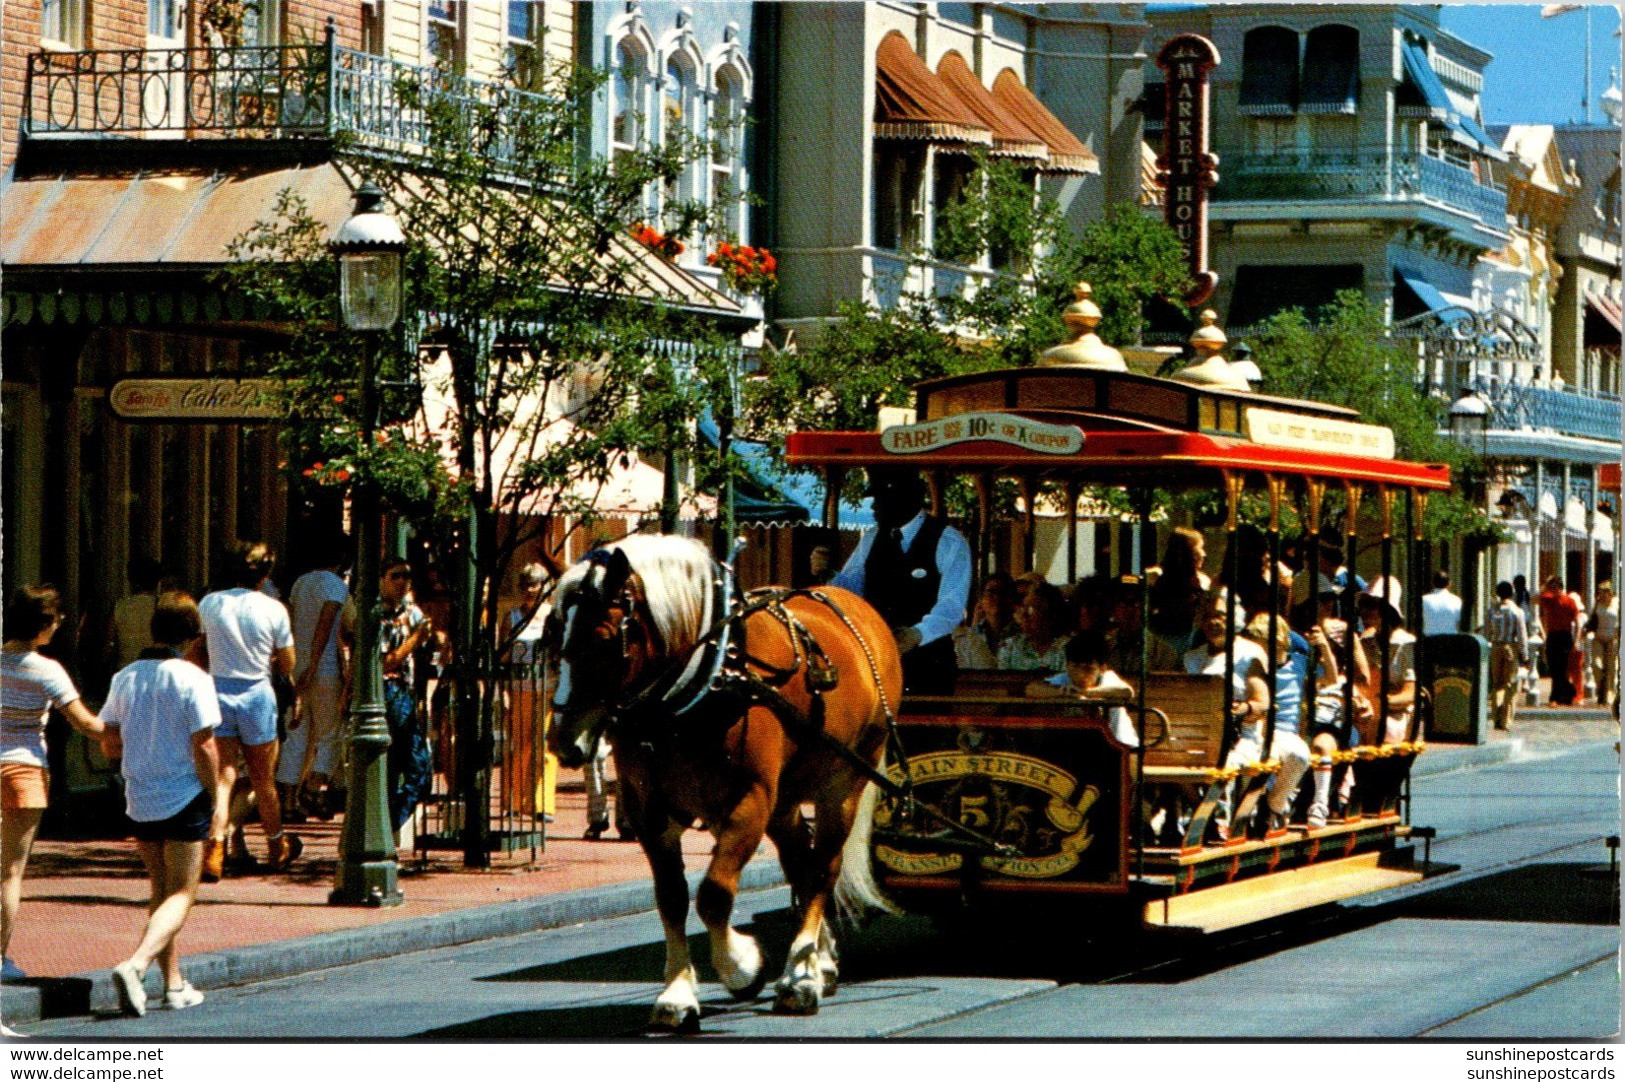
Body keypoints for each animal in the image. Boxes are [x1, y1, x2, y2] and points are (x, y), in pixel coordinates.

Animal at [546, 532, 903, 1026]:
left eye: (603, 640)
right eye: (551, 631)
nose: (563, 740)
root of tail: (860, 611)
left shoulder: (748, 801)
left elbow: (713, 893)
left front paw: (744, 967)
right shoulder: (650, 811)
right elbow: (672, 897)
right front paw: (677, 994)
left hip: (843, 785)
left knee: (822, 869)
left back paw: (802, 979)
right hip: (786, 798)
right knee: (801, 861)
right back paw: (818, 964)